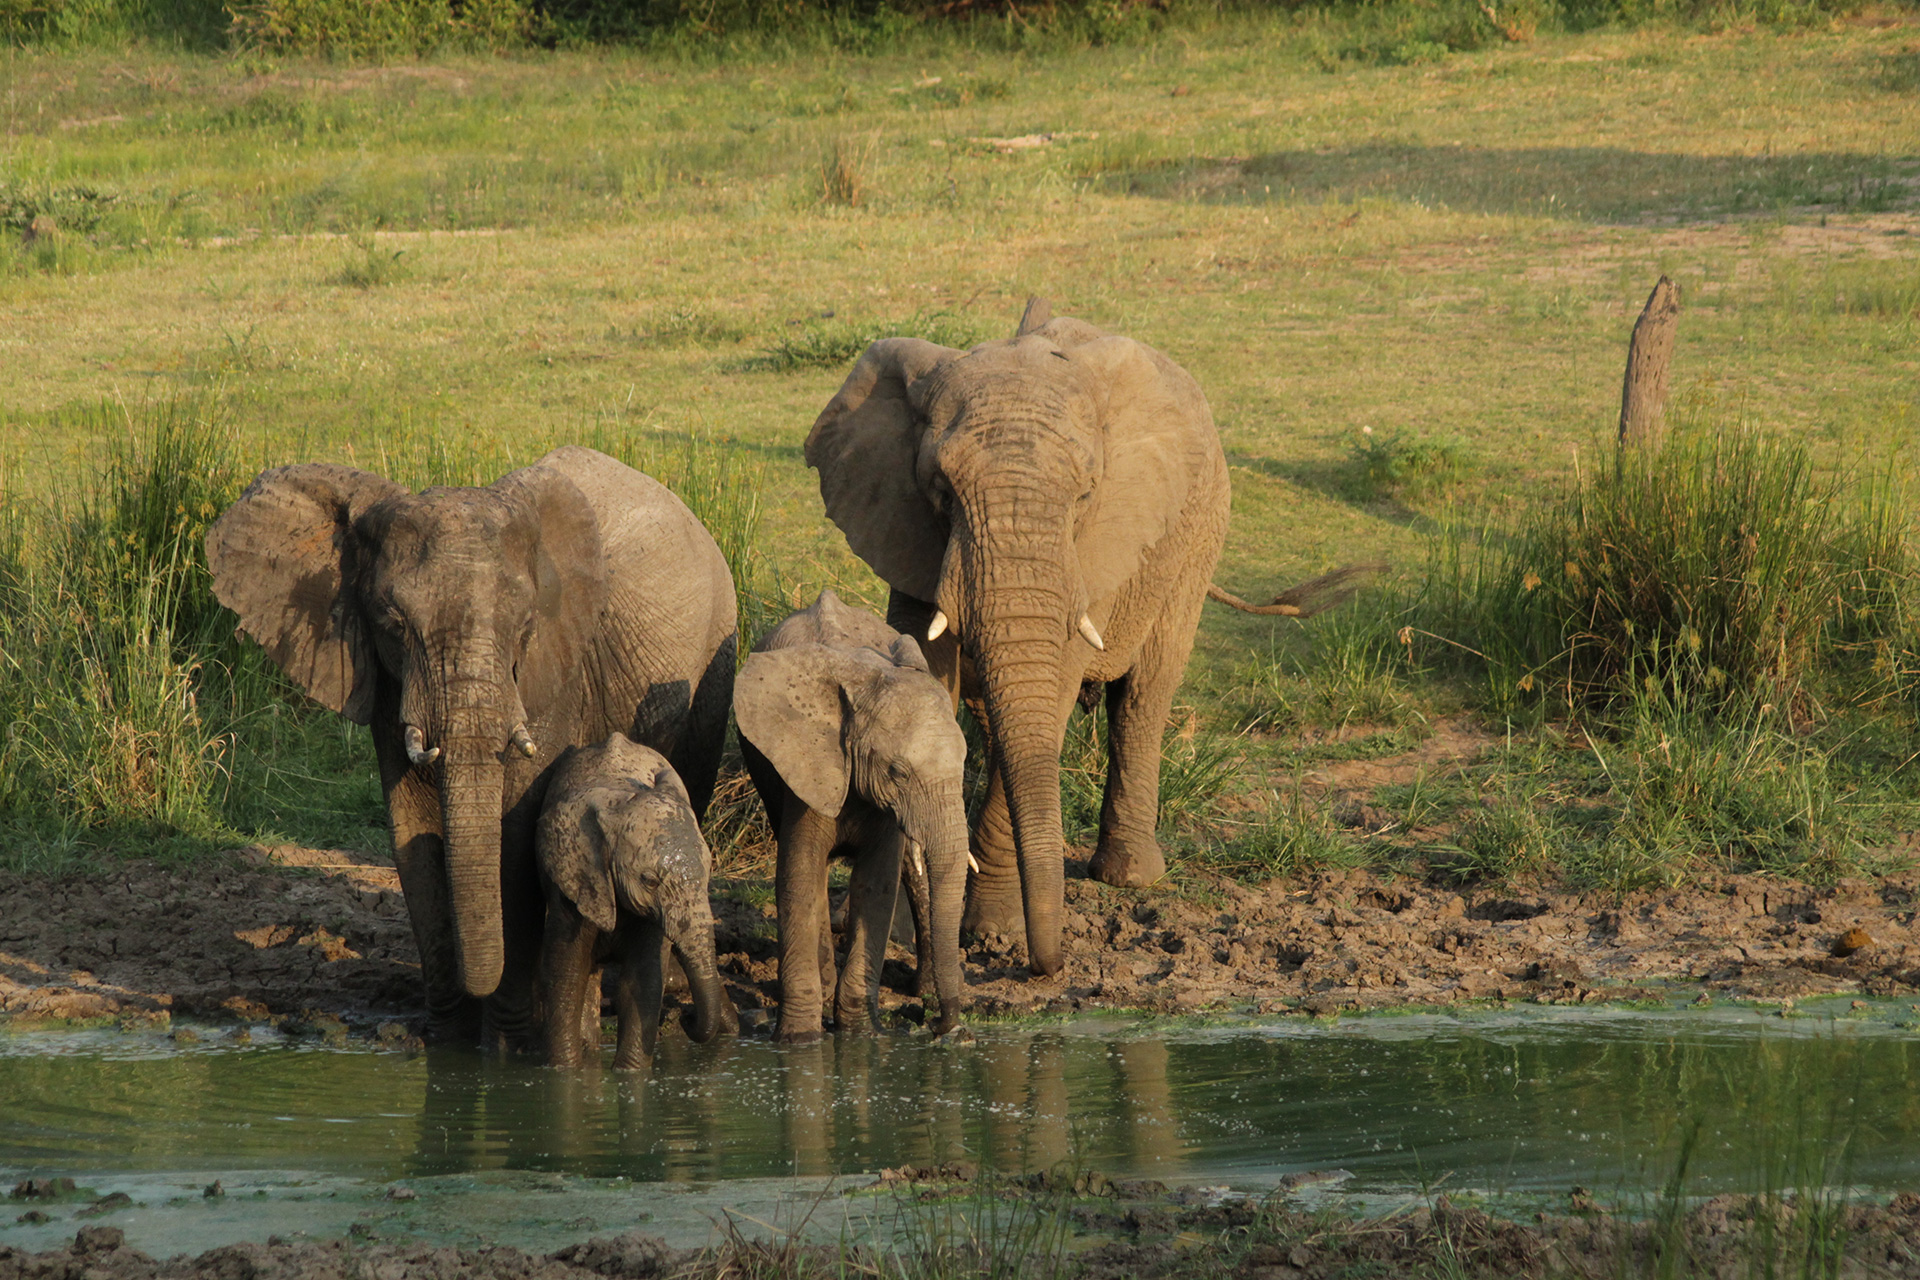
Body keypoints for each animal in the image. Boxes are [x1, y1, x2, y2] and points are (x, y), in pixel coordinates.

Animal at [536, 733, 737, 1069]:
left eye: (709, 873)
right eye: (649, 881)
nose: (686, 1018)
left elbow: (642, 980)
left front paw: (630, 1072)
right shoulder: (575, 881)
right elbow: (565, 974)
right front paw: (564, 1071)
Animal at [733, 589, 971, 1041]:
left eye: (964, 762)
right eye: (897, 772)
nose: (938, 1022)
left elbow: (877, 883)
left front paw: (860, 1032)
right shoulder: (809, 768)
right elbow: (797, 876)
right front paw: (799, 1039)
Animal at [805, 306, 1370, 978]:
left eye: (1085, 495)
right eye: (941, 491)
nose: (1046, 966)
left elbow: (1049, 703)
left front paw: (994, 935)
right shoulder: (907, 532)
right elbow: (927, 673)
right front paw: (885, 930)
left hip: (1201, 532)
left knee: (1146, 692)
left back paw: (1128, 877)